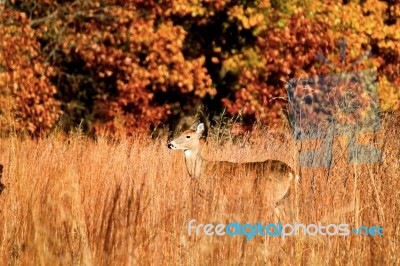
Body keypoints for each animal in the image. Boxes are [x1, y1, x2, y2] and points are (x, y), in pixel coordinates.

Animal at [167, 121, 298, 211]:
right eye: (180, 133)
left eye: (188, 136)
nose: (170, 144)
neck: (201, 171)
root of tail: (291, 173)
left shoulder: (219, 197)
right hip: (278, 200)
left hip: (268, 196)